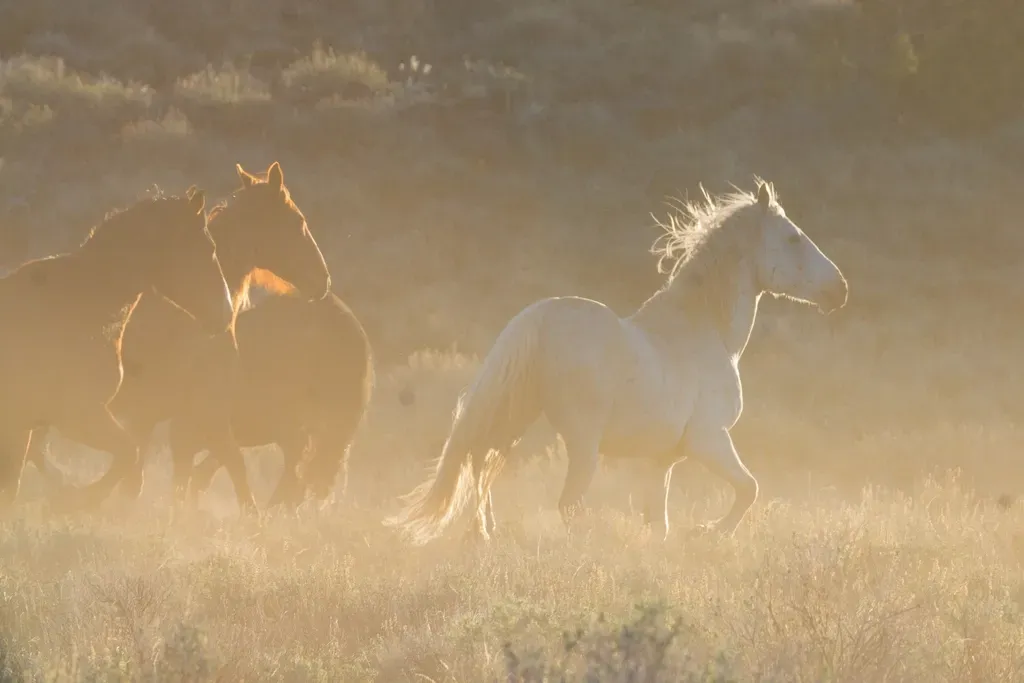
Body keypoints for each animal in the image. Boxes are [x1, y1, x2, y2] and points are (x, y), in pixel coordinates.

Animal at [0, 187, 233, 510]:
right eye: (209, 247)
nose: (226, 313)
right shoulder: (77, 415)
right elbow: (128, 453)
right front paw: (77, 498)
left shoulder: (28, 424)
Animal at [384, 179, 848, 545]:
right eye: (793, 237)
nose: (840, 290)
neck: (706, 334)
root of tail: (537, 318)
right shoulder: (709, 439)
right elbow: (749, 488)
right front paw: (709, 533)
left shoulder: (664, 460)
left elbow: (659, 522)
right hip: (581, 441)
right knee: (566, 503)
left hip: (515, 418)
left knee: (481, 464)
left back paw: (484, 534)